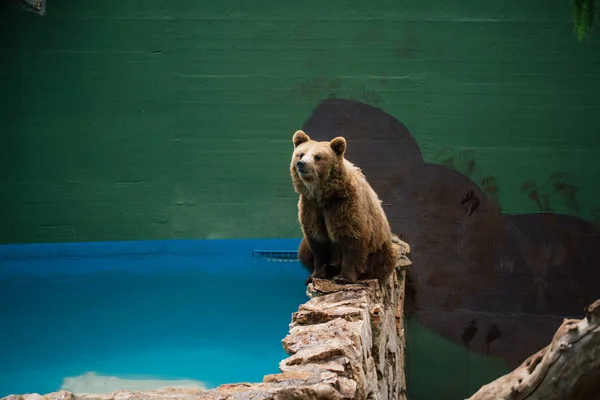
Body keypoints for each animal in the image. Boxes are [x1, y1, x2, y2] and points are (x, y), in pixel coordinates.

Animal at [288, 130, 396, 284]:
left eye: (318, 156)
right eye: (301, 153)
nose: (301, 164)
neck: (324, 195)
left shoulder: (345, 205)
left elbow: (351, 239)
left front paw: (343, 277)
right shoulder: (311, 207)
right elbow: (317, 241)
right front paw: (316, 274)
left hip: (380, 248)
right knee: (303, 250)